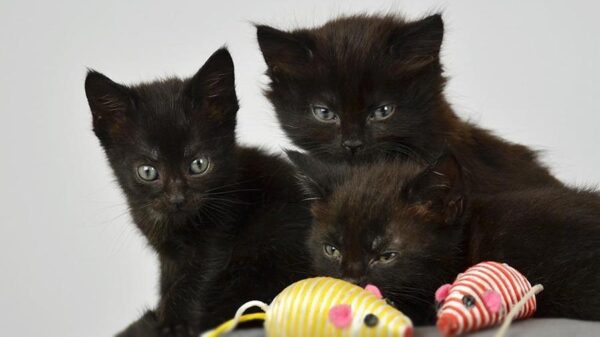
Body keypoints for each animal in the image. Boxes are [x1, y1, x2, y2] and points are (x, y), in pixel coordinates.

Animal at [86, 48, 312, 334]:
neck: (170, 224)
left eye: (198, 164)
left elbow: (193, 280)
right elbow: (167, 283)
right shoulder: (168, 258)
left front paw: (171, 324)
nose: (177, 198)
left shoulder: (219, 232)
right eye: (148, 171)